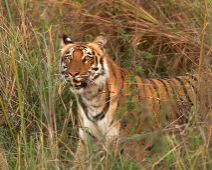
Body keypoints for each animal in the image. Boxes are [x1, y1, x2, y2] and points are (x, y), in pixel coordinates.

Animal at [59, 33, 197, 161]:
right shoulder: (86, 141)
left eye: (87, 58)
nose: (72, 73)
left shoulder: (132, 144)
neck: (91, 97)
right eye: (68, 58)